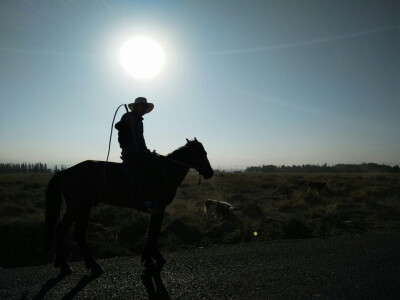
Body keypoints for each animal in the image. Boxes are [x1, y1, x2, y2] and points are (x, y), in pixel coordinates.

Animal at [45, 139, 214, 278]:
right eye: (203, 153)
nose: (210, 172)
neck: (166, 171)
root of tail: (66, 172)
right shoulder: (159, 208)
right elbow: (154, 232)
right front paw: (154, 257)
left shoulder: (156, 209)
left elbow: (151, 231)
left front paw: (148, 258)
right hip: (79, 207)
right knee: (72, 232)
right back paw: (86, 265)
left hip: (79, 208)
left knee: (68, 231)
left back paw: (69, 264)